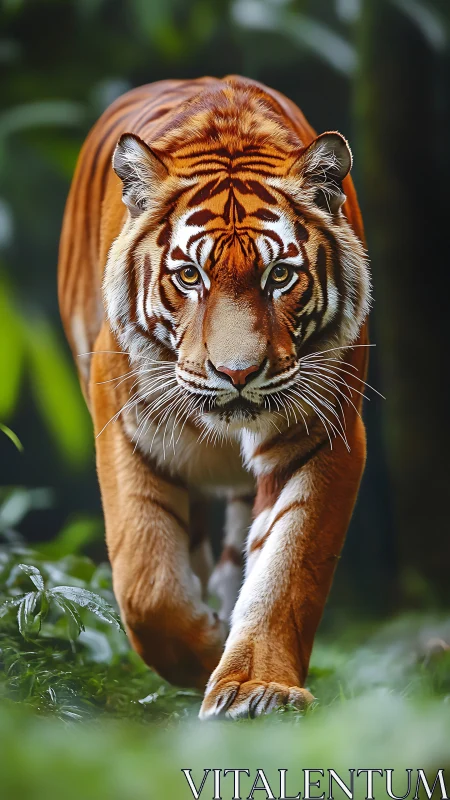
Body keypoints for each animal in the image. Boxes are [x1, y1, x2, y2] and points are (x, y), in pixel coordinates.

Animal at [58, 75, 371, 719]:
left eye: (279, 276)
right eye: (189, 277)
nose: (237, 372)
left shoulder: (324, 435)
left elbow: (287, 569)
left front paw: (255, 687)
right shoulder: (126, 427)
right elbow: (147, 580)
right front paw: (202, 653)